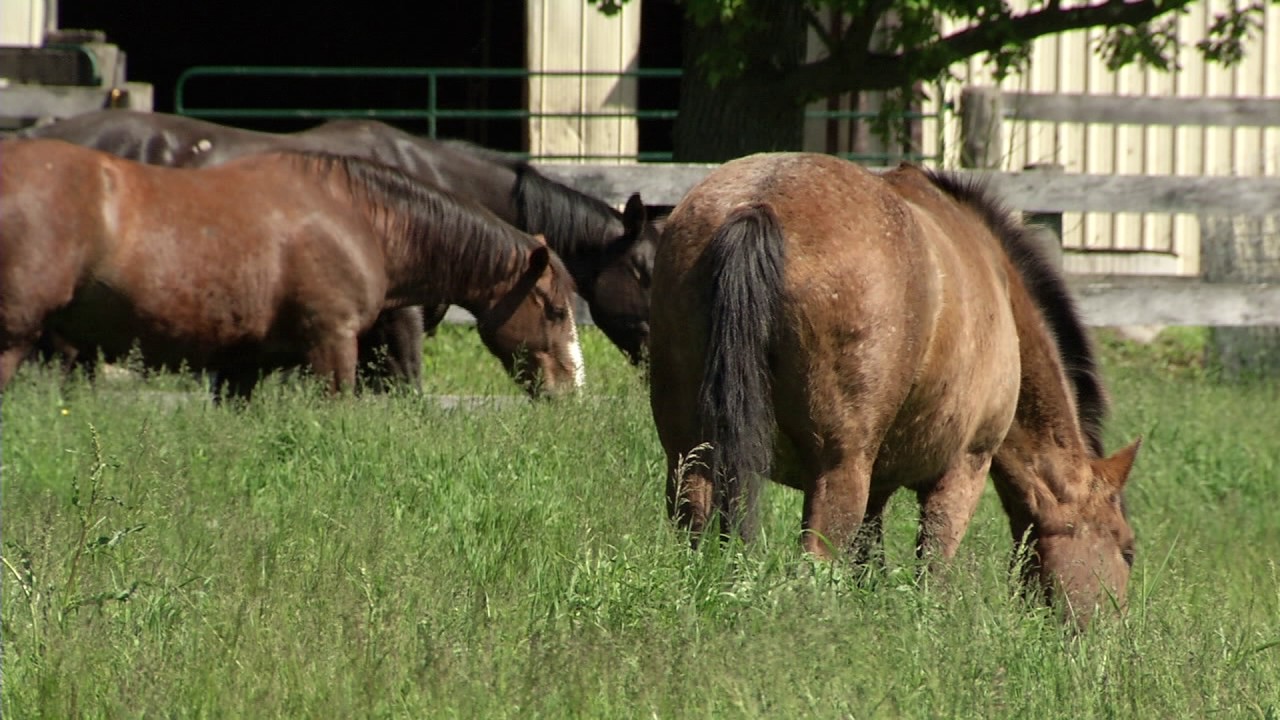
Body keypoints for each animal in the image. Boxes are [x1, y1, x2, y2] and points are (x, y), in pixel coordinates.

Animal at [648, 152, 1139, 625]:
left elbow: (869, 564)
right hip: (839, 470)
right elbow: (932, 572)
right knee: (815, 564)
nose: (1110, 635)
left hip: (690, 456)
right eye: (1128, 548)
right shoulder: (965, 466)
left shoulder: (878, 487)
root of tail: (759, 203)